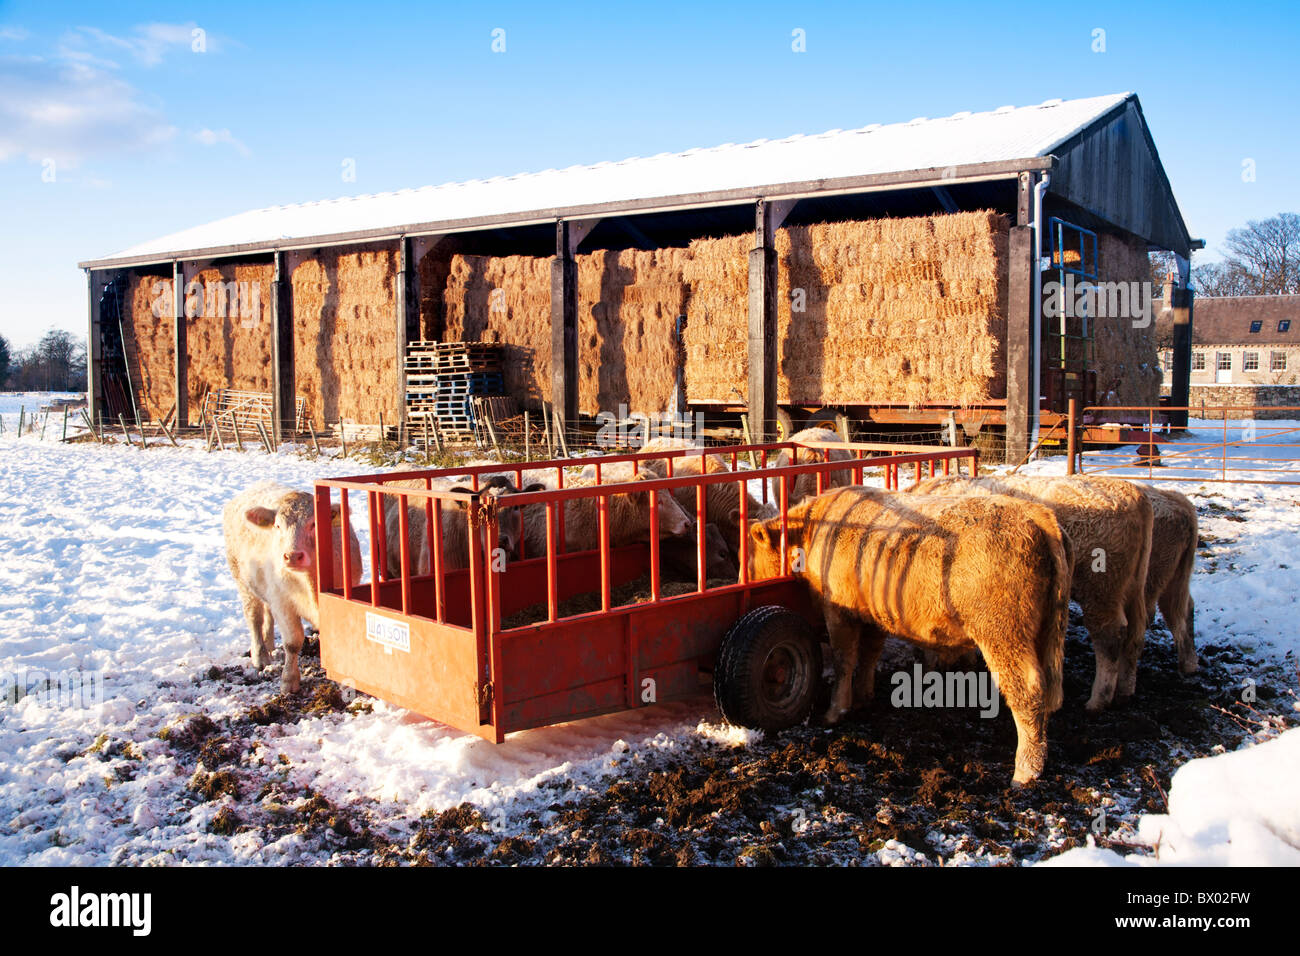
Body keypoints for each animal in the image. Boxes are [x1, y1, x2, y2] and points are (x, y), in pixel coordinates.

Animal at [223, 481, 363, 693]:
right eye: (277, 525)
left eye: (314, 524)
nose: (292, 556)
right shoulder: (283, 604)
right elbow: (292, 642)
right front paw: (289, 680)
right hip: (242, 581)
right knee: (254, 617)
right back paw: (260, 656)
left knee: (267, 614)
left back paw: (269, 645)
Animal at [747, 486, 1071, 784]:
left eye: (748, 562)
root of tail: (1038, 514)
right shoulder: (872, 614)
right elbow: (869, 655)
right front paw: (863, 696)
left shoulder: (838, 611)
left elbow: (844, 660)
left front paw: (835, 711)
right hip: (1042, 633)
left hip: (1003, 633)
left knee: (1027, 689)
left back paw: (1025, 770)